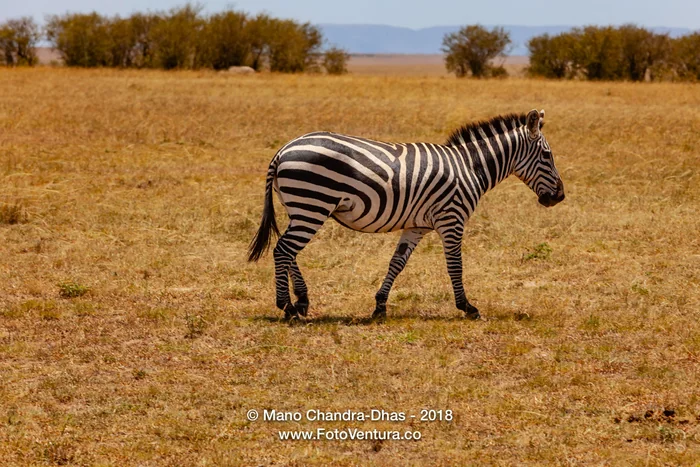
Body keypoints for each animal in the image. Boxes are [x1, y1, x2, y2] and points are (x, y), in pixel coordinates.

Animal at [247, 109, 565, 320]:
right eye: (547, 156)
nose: (560, 196)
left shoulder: (417, 226)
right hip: (312, 204)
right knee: (283, 250)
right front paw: (467, 307)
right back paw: (287, 306)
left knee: (289, 252)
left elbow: (397, 263)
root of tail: (283, 150)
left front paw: (379, 306)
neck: (470, 166)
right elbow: (455, 266)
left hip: (301, 208)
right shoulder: (451, 219)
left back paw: (302, 301)